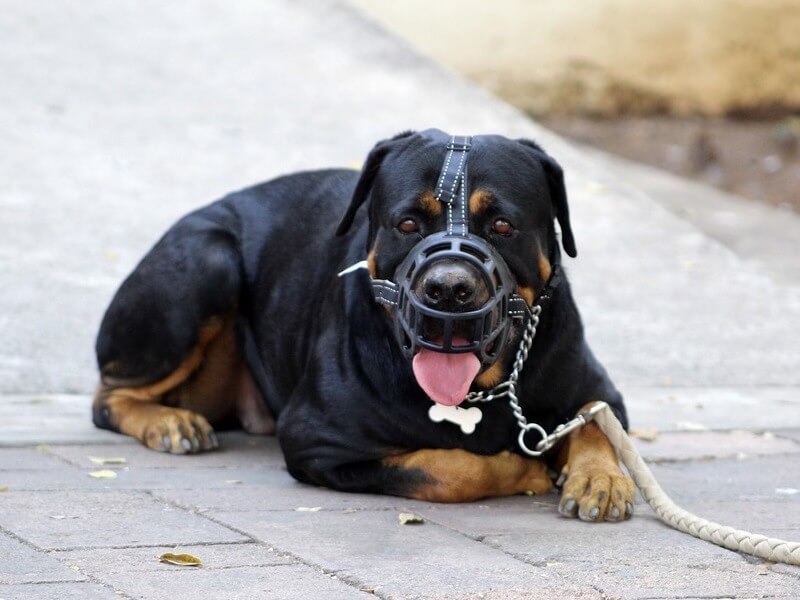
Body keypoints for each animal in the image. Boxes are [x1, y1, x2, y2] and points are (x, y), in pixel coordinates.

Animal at [94, 130, 636, 520]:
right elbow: (448, 467)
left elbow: (596, 420)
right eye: (408, 224)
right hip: (209, 260)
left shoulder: (596, 387)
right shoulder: (319, 439)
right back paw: (169, 422)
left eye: (503, 225)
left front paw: (600, 479)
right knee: (108, 398)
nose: (449, 288)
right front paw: (522, 469)